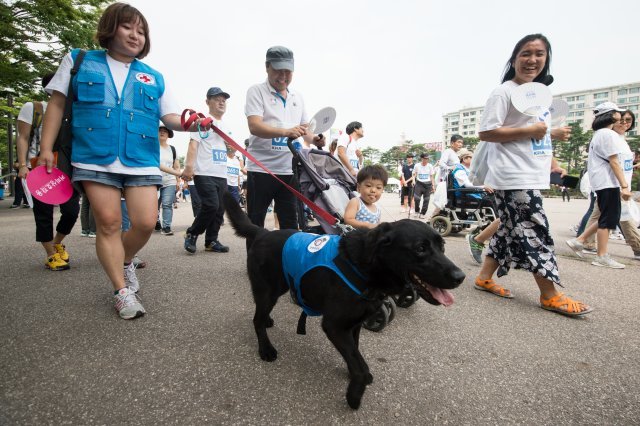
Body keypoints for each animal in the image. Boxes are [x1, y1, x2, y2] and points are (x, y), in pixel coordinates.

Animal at [225, 194, 464, 410]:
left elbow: (355, 354)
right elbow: (360, 365)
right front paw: (355, 394)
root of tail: (262, 232)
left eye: (442, 246)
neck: (364, 267)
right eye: (420, 249)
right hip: (268, 291)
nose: (459, 277)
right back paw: (266, 349)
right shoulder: (334, 326)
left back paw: (268, 322)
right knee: (256, 319)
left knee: (261, 315)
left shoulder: (354, 325)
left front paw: (352, 374)